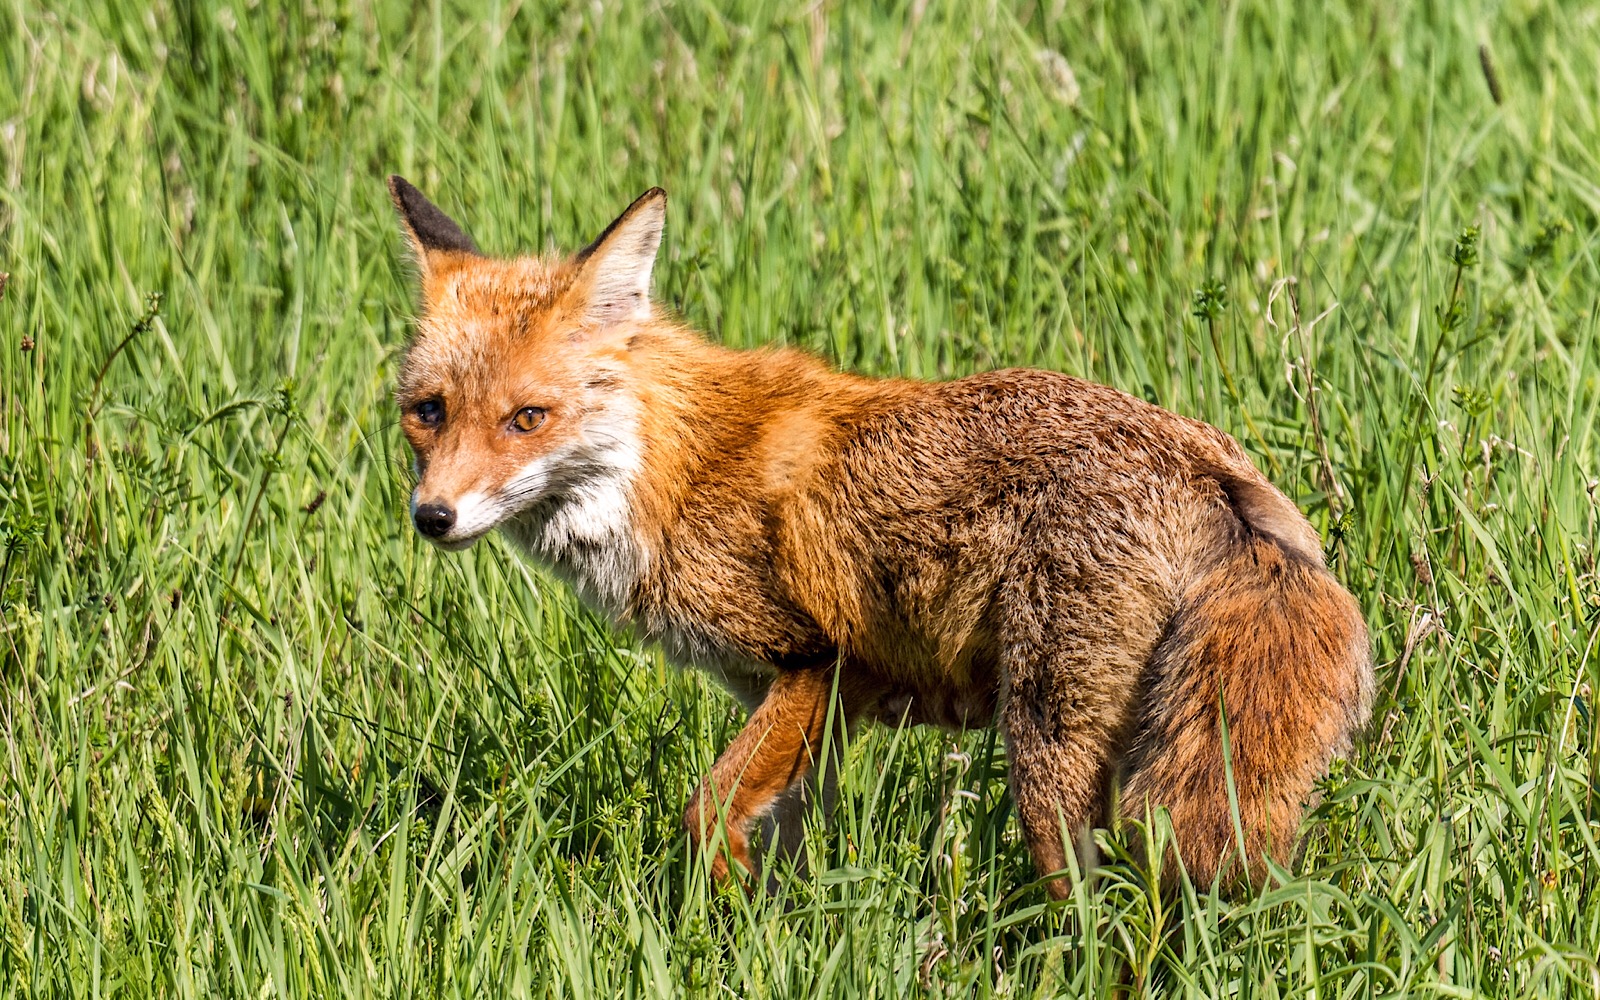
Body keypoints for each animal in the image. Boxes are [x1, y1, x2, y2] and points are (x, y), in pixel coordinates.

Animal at [380, 173, 1369, 896]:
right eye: (428, 412)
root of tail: (1205, 464)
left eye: (527, 418)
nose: (433, 517)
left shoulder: (816, 658)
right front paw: (775, 933)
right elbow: (774, 837)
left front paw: (722, 926)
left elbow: (708, 816)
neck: (671, 468)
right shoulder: (807, 705)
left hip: (1047, 759)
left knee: (1101, 912)